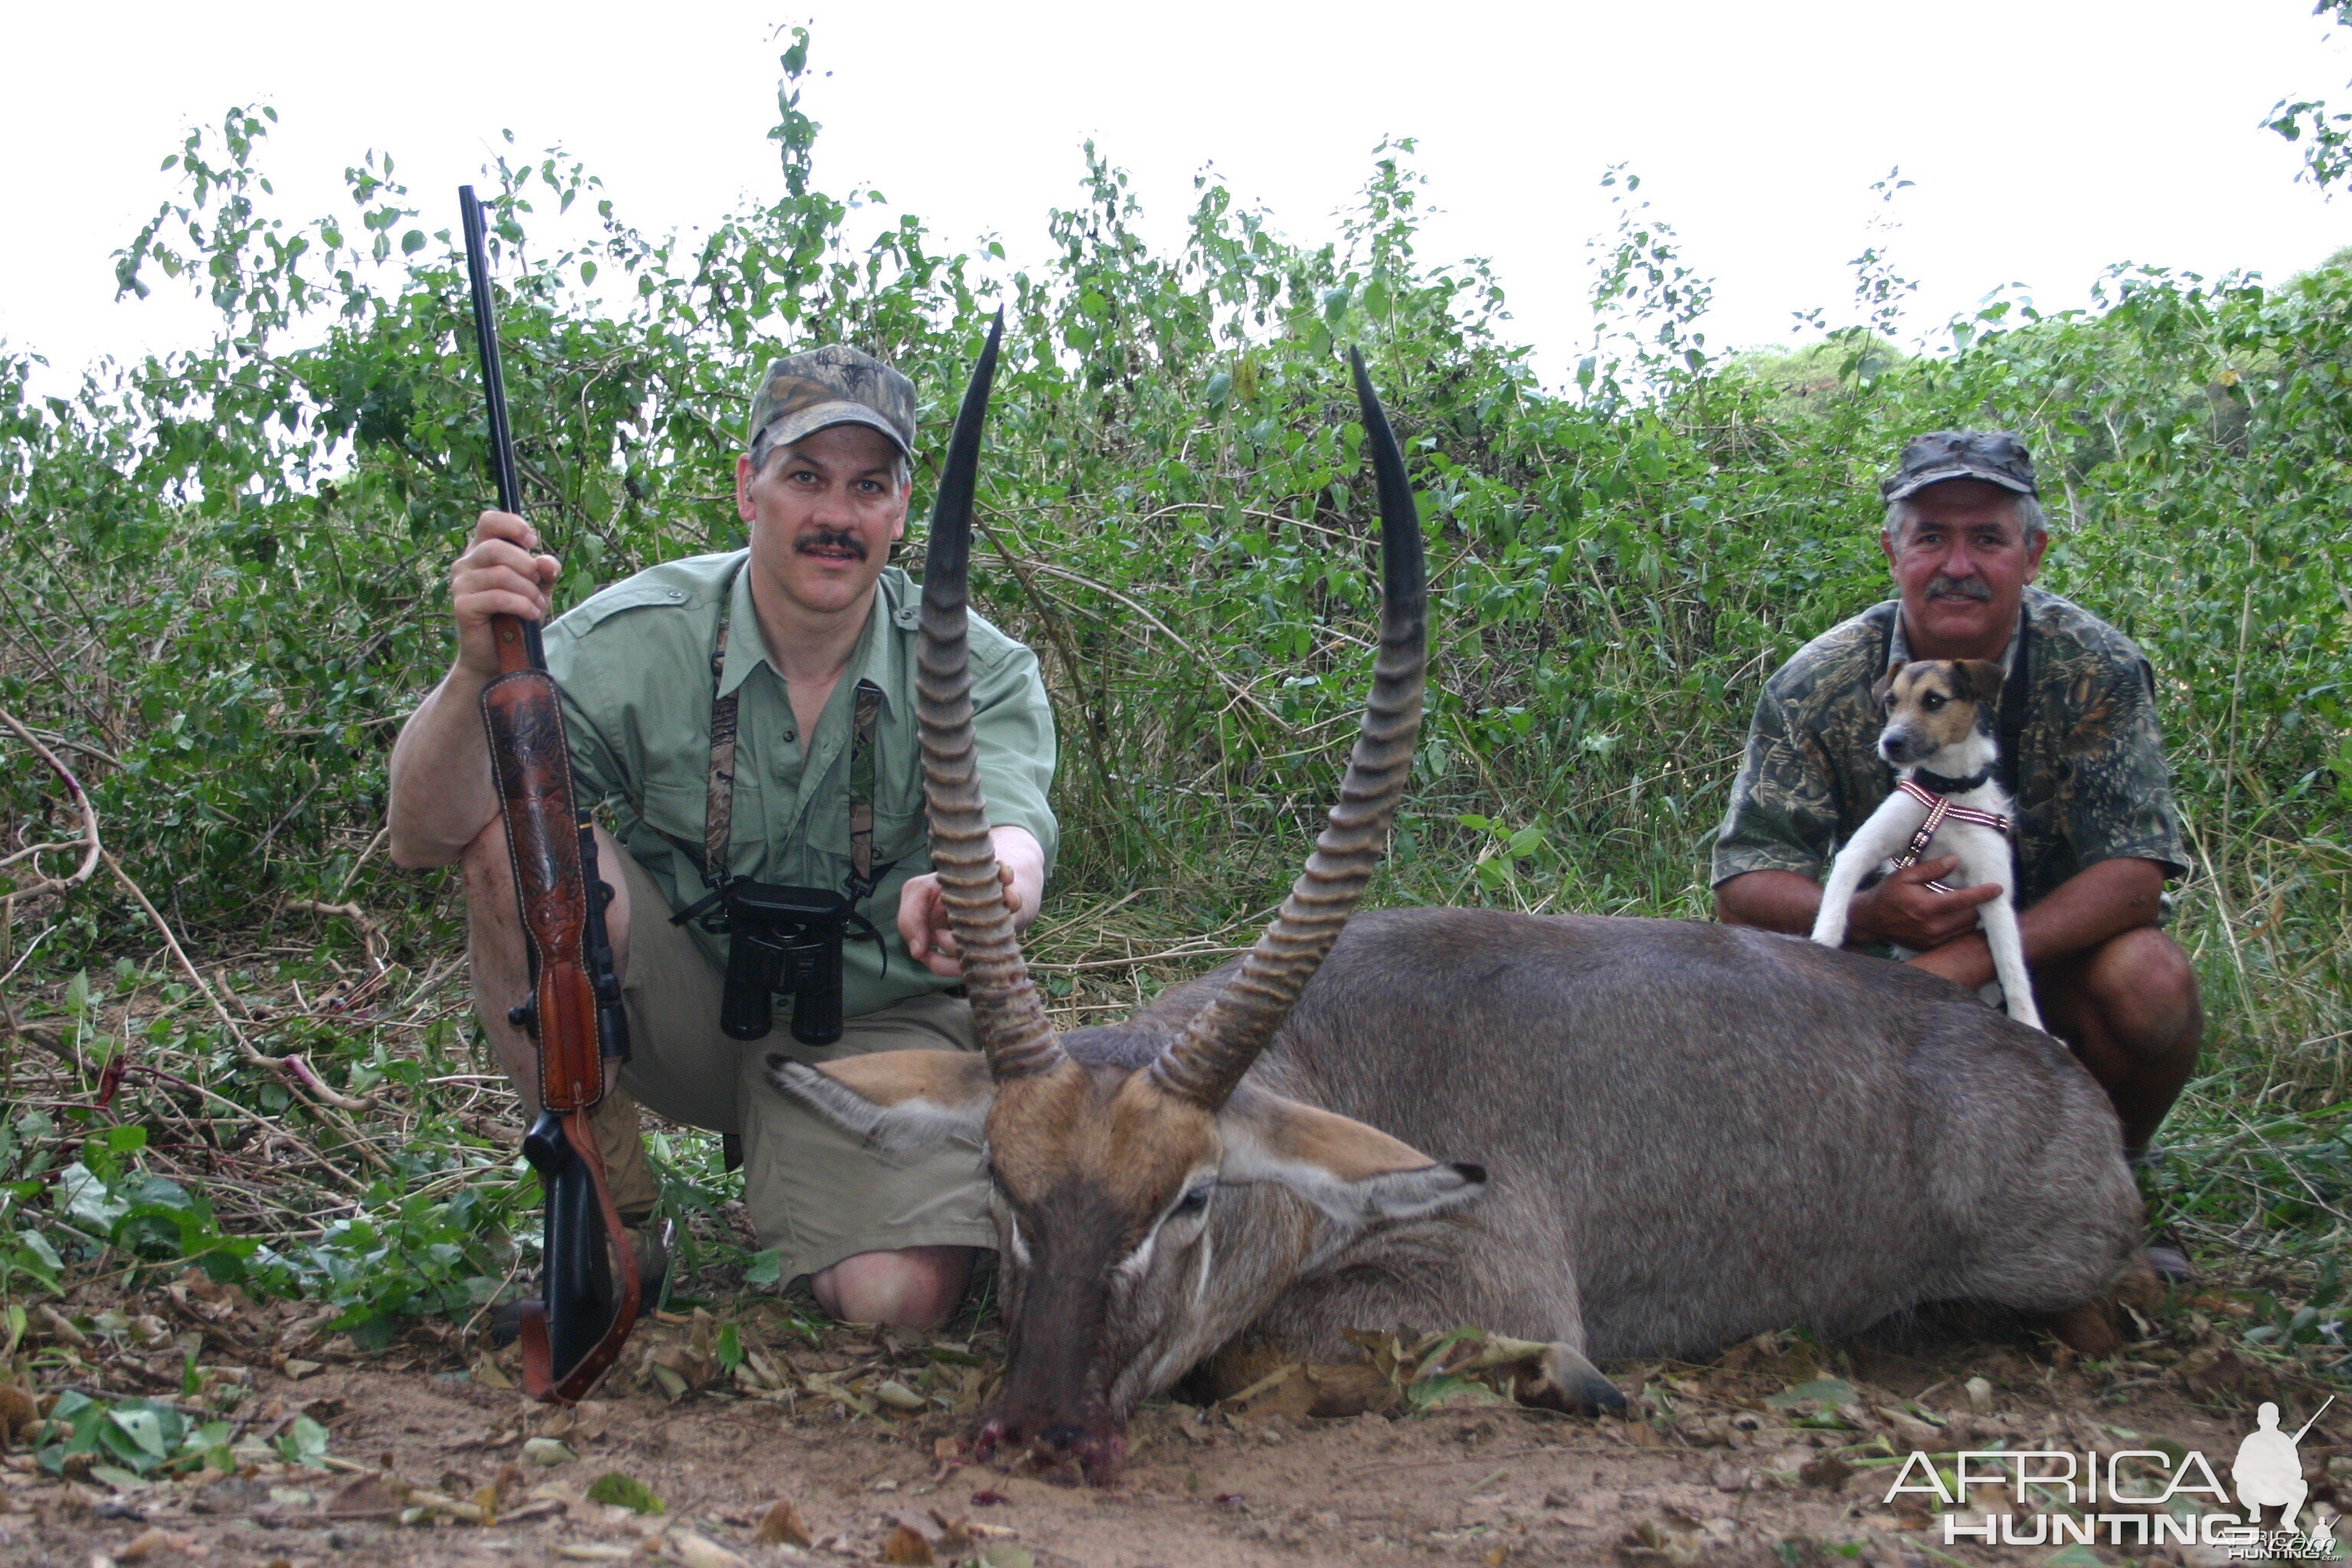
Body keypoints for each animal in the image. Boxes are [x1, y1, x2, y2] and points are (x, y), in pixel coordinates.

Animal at [1806, 658, 2050, 1034]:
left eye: (1934, 700)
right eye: (1891, 701)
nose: (1890, 743)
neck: (1945, 795)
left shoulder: (1994, 890)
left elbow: (2012, 968)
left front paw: (2029, 1023)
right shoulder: (1859, 851)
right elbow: (1833, 912)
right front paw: (1823, 950)